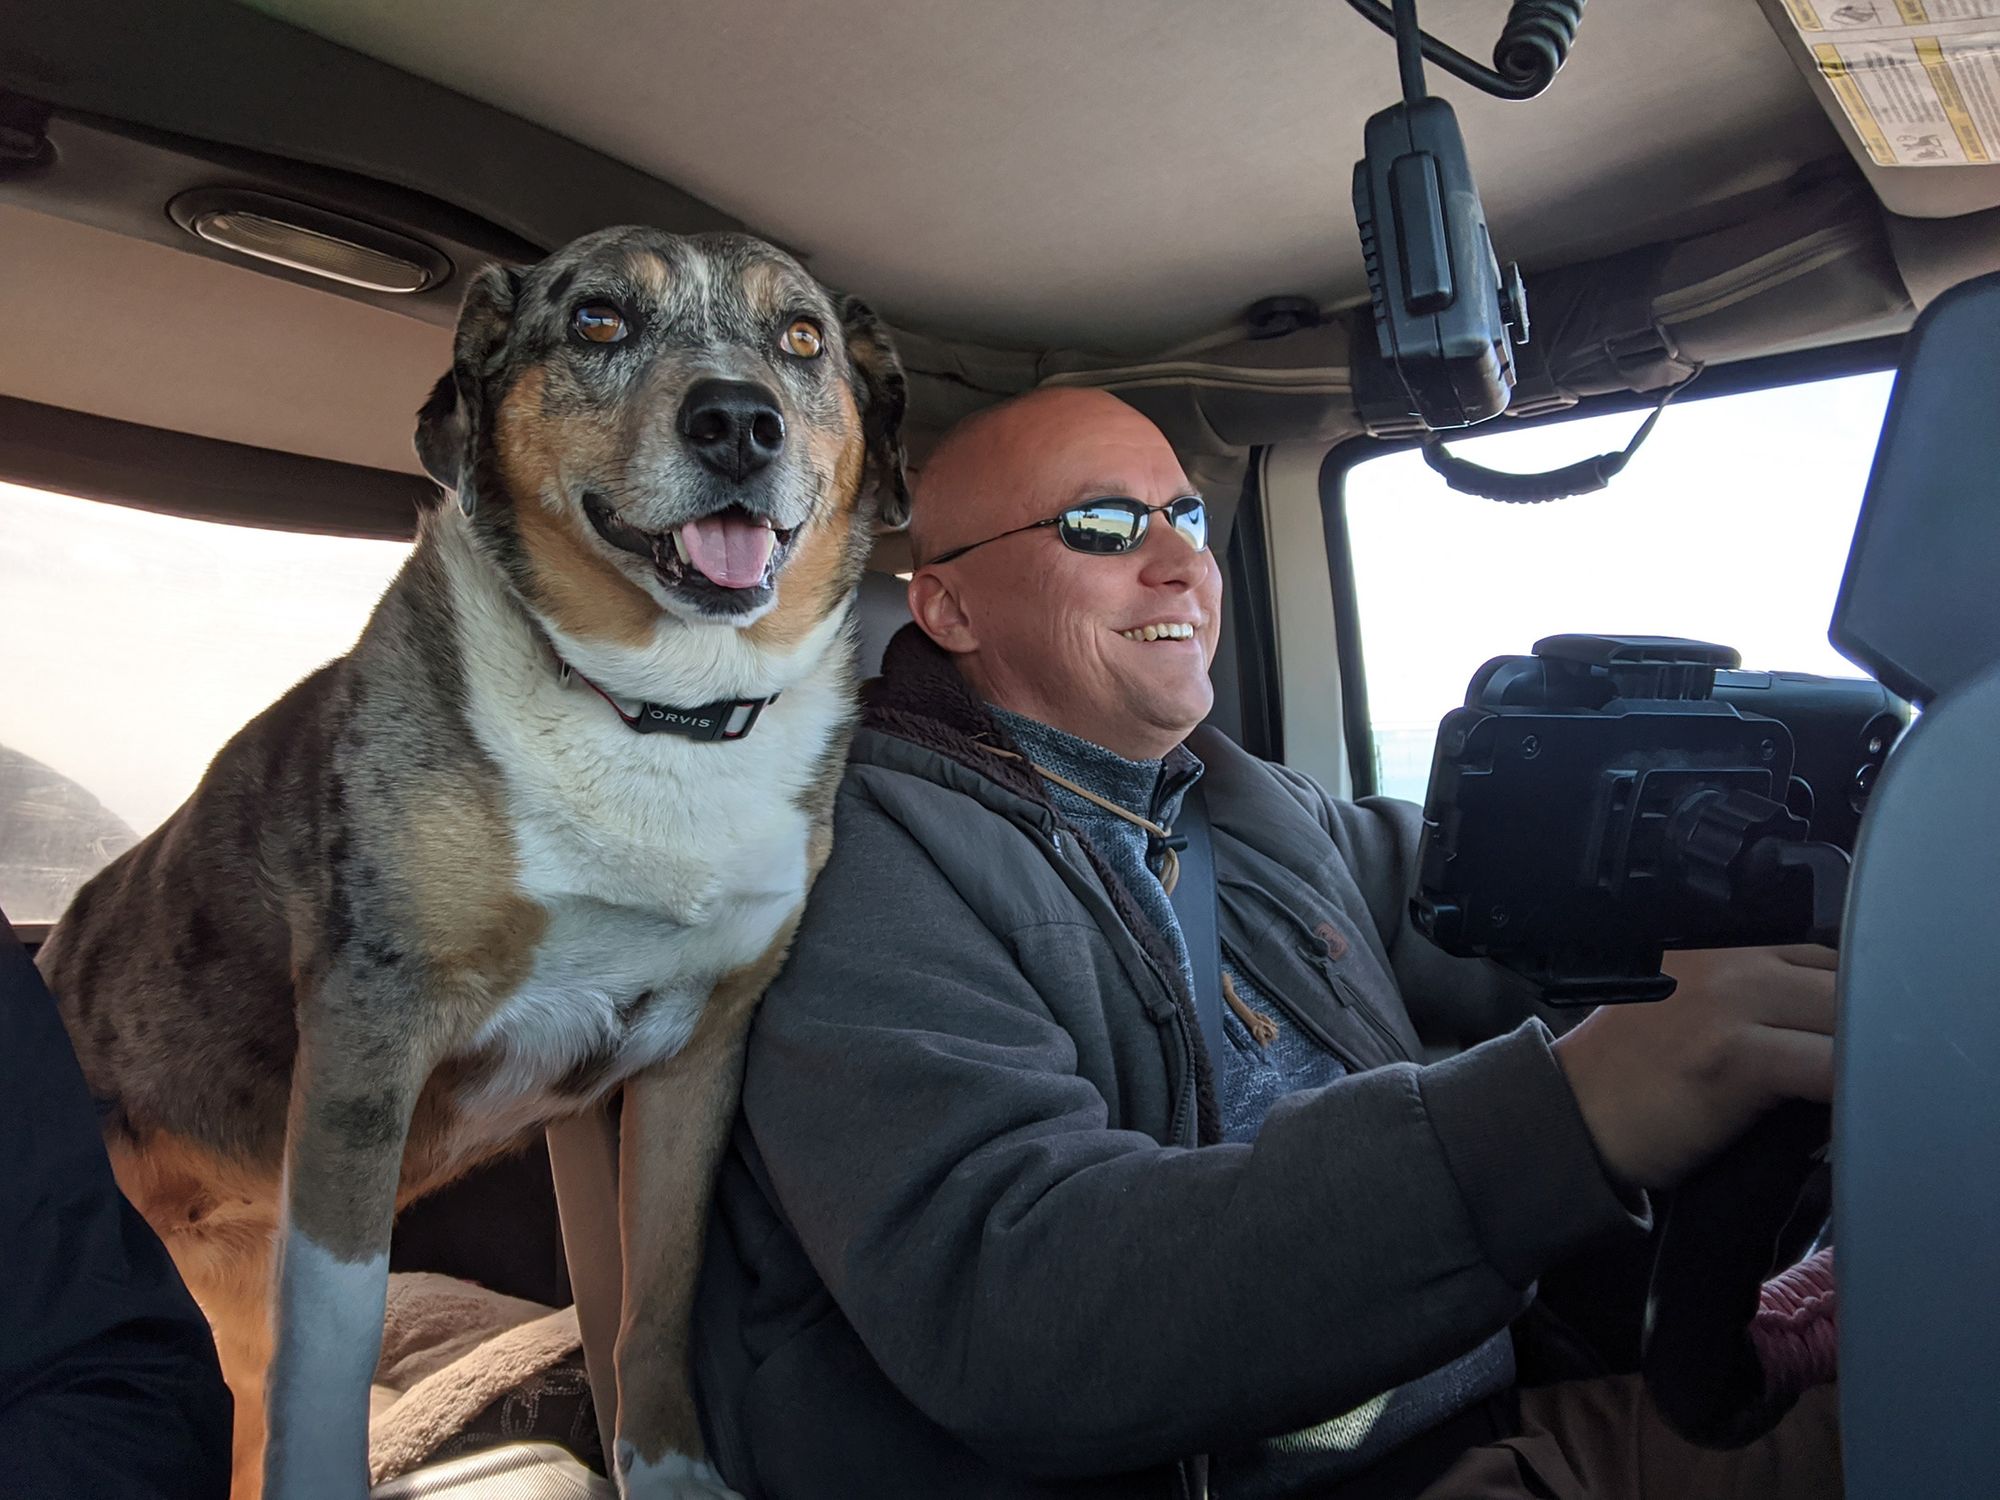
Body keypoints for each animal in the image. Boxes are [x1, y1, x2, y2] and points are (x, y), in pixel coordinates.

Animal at [37, 226, 908, 1500]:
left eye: (799, 337)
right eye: (597, 320)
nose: (738, 422)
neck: (654, 712)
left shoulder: (698, 1057)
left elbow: (658, 1297)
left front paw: (670, 1470)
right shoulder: (364, 1054)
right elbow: (330, 1363)